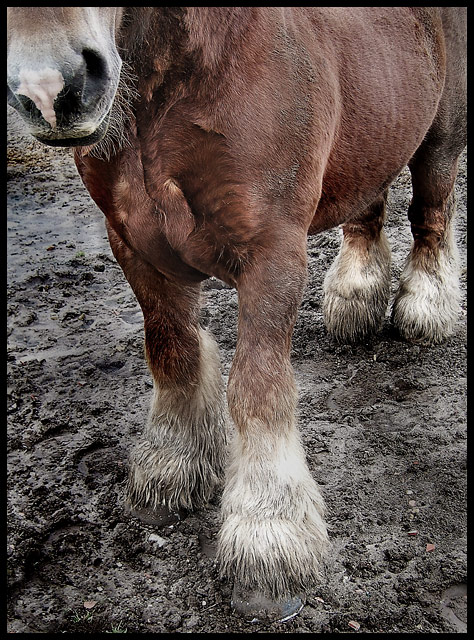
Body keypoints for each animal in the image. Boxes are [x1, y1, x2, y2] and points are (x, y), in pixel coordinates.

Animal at [6, 6, 466, 620]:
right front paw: (169, 469)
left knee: (432, 211)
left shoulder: (271, 253)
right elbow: (172, 354)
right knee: (368, 207)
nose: (50, 88)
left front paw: (268, 541)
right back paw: (356, 296)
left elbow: (257, 388)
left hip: (442, 133)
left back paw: (426, 308)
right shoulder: (133, 246)